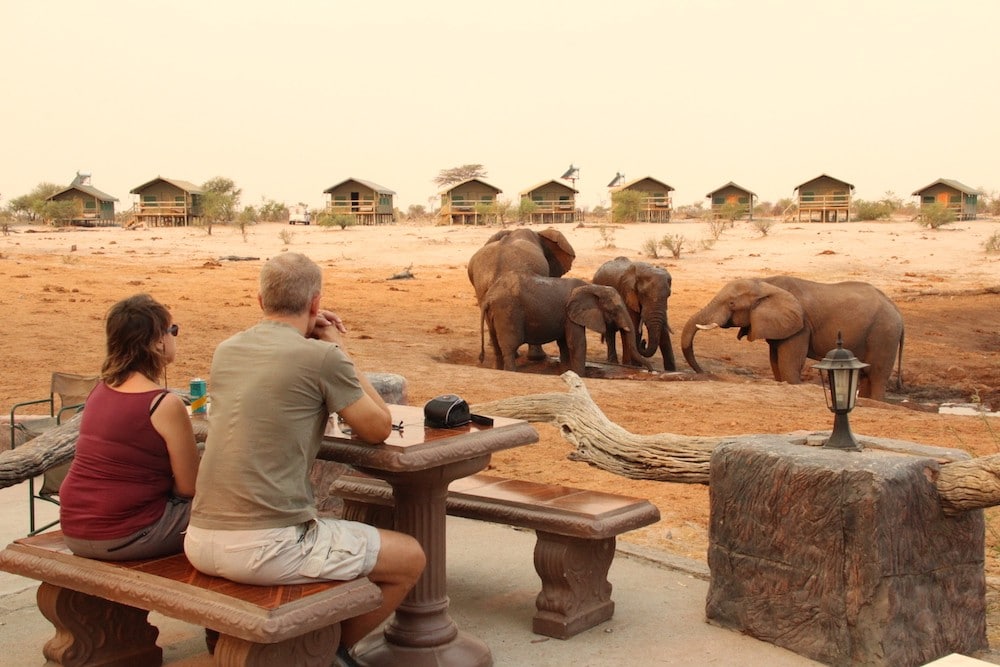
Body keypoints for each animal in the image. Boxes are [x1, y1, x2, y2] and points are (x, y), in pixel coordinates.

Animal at [480, 272, 652, 376]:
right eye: (615, 310)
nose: (650, 370)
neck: (593, 287)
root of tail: (489, 297)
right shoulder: (571, 315)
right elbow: (577, 343)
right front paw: (580, 375)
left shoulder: (566, 317)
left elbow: (564, 344)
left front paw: (566, 372)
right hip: (508, 312)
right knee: (509, 346)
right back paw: (511, 372)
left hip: (495, 315)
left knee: (497, 345)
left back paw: (498, 370)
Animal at [680, 274, 908, 400]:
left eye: (731, 304)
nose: (703, 372)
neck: (764, 283)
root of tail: (898, 311)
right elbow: (775, 362)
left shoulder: (801, 326)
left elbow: (789, 363)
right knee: (867, 375)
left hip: (884, 334)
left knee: (877, 375)